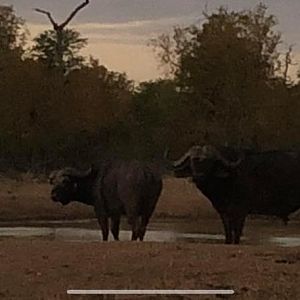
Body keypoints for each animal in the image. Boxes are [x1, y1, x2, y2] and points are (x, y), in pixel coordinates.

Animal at [171, 145, 300, 244]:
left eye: (210, 161)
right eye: (193, 160)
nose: (198, 176)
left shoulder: (241, 211)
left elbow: (237, 232)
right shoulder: (224, 212)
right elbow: (228, 231)